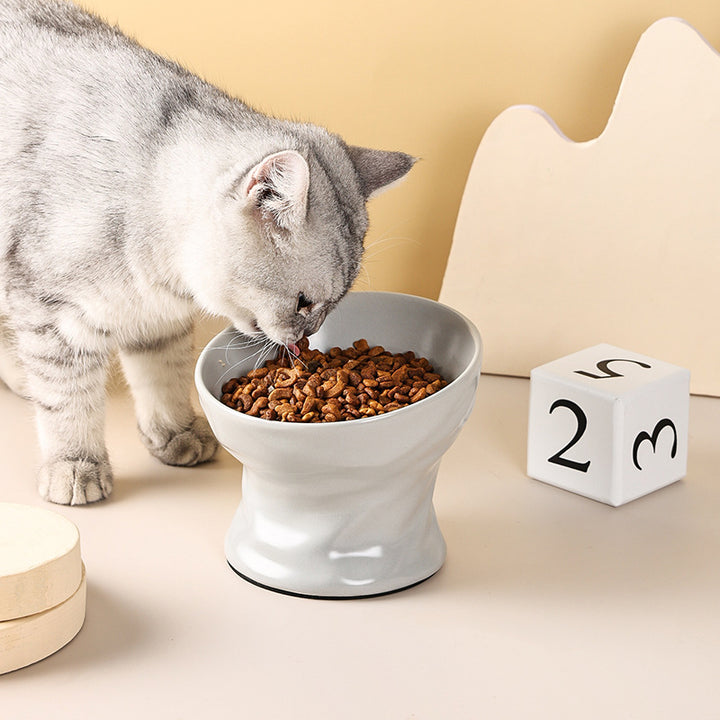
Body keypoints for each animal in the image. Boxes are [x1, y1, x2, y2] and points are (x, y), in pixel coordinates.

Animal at [0, 0, 416, 506]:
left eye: (335, 304)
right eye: (304, 303)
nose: (309, 337)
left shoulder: (155, 319)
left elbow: (163, 378)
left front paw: (176, 434)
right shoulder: (53, 315)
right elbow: (68, 401)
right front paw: (75, 466)